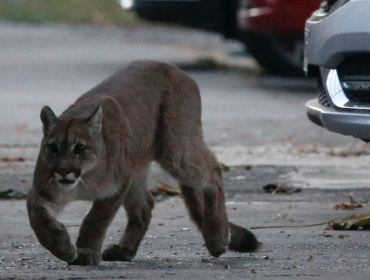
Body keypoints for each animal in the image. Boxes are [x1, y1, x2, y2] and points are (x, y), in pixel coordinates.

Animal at [26, 60, 260, 266]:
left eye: (80, 148)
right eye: (53, 147)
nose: (64, 171)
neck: (84, 178)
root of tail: (175, 69)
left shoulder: (116, 188)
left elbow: (96, 219)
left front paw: (86, 252)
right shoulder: (42, 190)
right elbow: (37, 217)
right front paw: (62, 246)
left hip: (176, 151)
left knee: (212, 170)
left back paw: (217, 237)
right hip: (136, 168)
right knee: (145, 205)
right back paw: (124, 251)